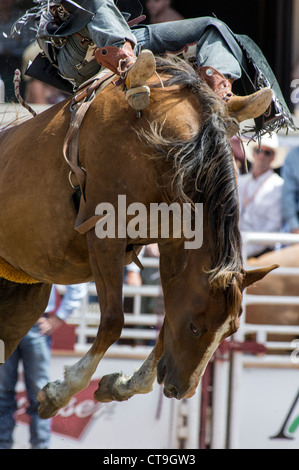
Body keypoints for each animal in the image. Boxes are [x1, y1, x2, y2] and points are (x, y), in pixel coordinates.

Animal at [0, 57, 276, 418]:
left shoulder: (173, 243)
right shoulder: (105, 238)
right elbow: (114, 321)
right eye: (195, 327)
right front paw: (60, 391)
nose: (180, 390)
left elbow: (163, 326)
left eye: (230, 330)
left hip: (20, 298)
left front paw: (121, 384)